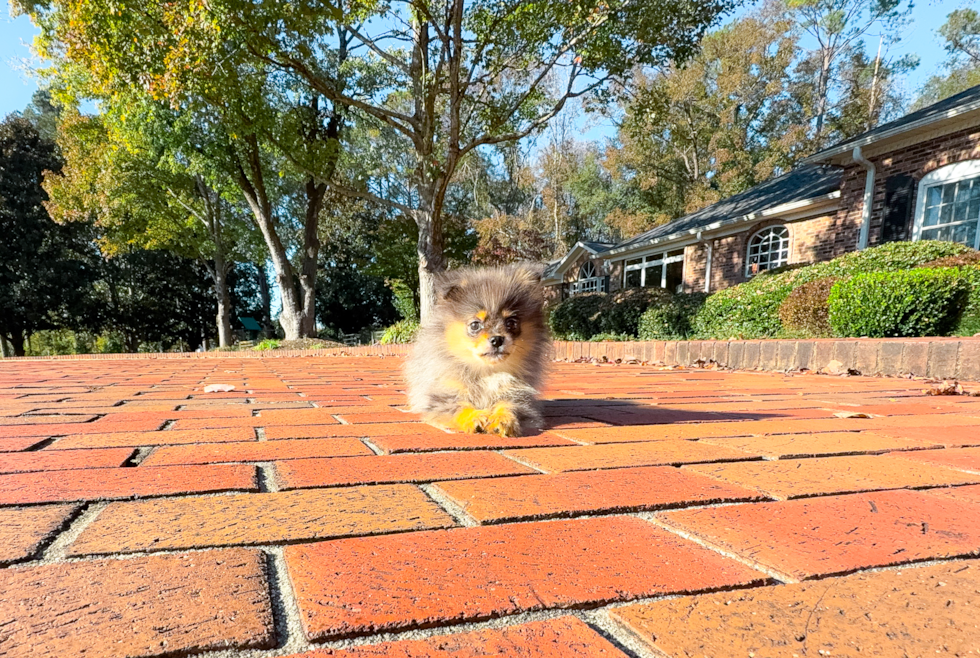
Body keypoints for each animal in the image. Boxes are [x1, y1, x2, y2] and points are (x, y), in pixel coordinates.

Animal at [406, 262, 552, 436]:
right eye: (475, 325)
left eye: (511, 322)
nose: (497, 339)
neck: (486, 372)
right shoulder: (444, 396)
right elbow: (461, 407)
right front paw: (474, 417)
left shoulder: (517, 394)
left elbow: (509, 405)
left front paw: (503, 419)